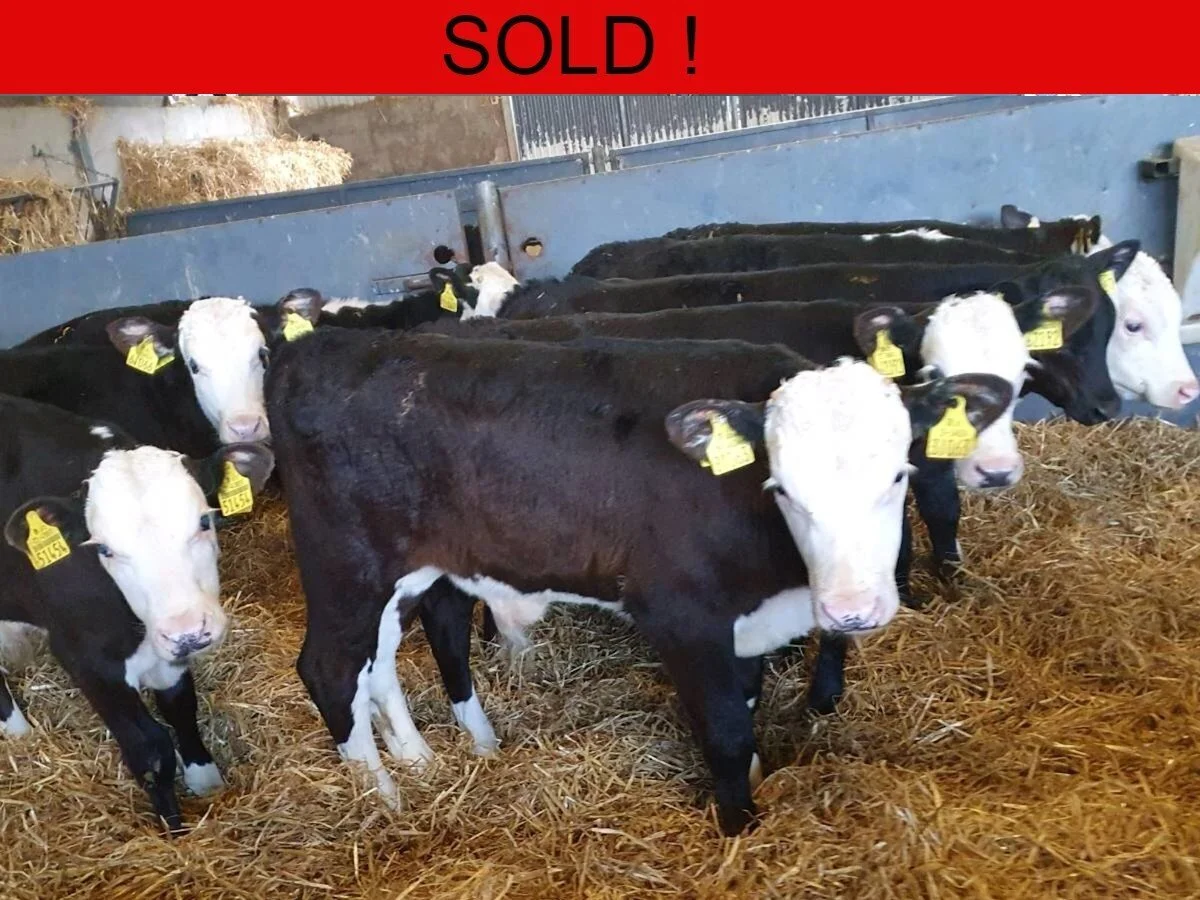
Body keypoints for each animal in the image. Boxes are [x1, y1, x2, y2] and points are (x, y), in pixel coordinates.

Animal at [0, 394, 274, 832]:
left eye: (204, 520)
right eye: (105, 549)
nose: (189, 631)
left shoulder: (168, 652)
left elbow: (181, 707)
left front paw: (205, 778)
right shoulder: (89, 660)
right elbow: (150, 748)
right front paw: (173, 828)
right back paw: (18, 730)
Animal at [266, 326, 1012, 835]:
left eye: (899, 474)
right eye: (782, 487)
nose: (852, 609)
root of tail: (323, 345)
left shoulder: (743, 623)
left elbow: (745, 708)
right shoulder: (682, 615)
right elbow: (723, 728)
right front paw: (741, 827)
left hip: (409, 570)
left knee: (387, 658)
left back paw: (433, 757)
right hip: (344, 562)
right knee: (330, 668)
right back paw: (383, 799)